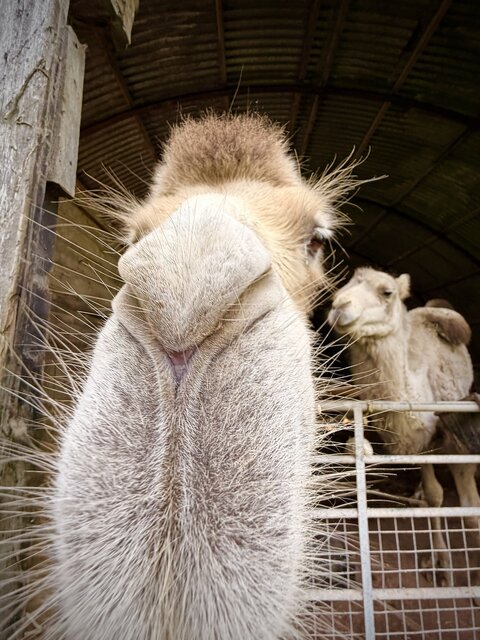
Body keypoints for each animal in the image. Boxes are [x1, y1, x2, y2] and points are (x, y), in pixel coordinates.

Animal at [328, 266, 479, 585]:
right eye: (343, 286)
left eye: (387, 292)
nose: (339, 306)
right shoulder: (419, 444)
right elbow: (435, 496)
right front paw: (442, 565)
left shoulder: (458, 438)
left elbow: (471, 510)